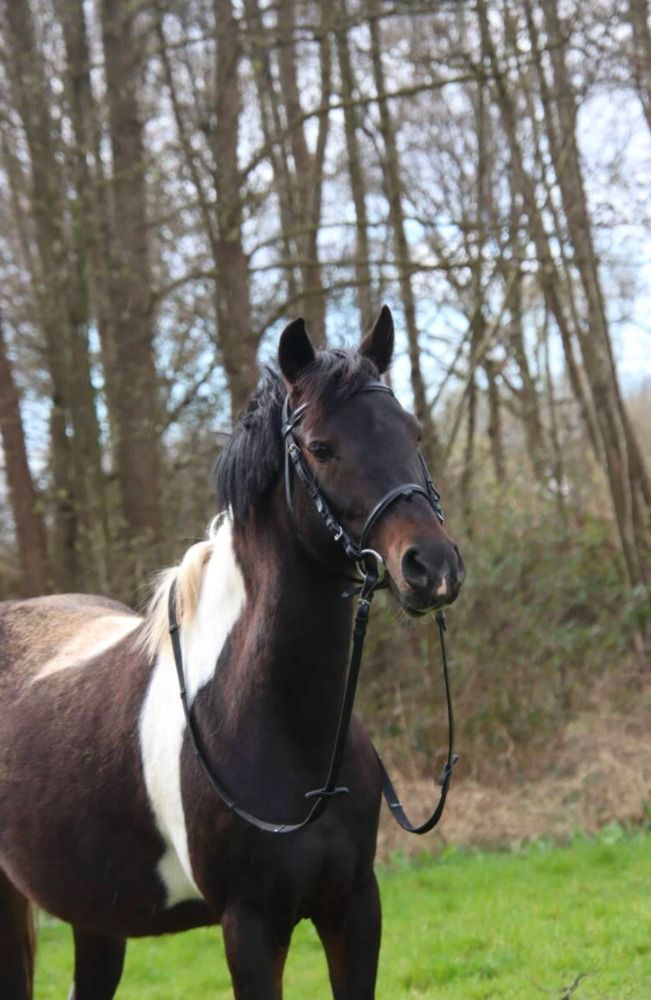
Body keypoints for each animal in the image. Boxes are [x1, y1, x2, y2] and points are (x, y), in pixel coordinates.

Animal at [0, 306, 464, 999]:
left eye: (411, 433)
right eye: (321, 447)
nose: (431, 568)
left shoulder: (355, 908)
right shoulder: (250, 927)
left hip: (96, 916)